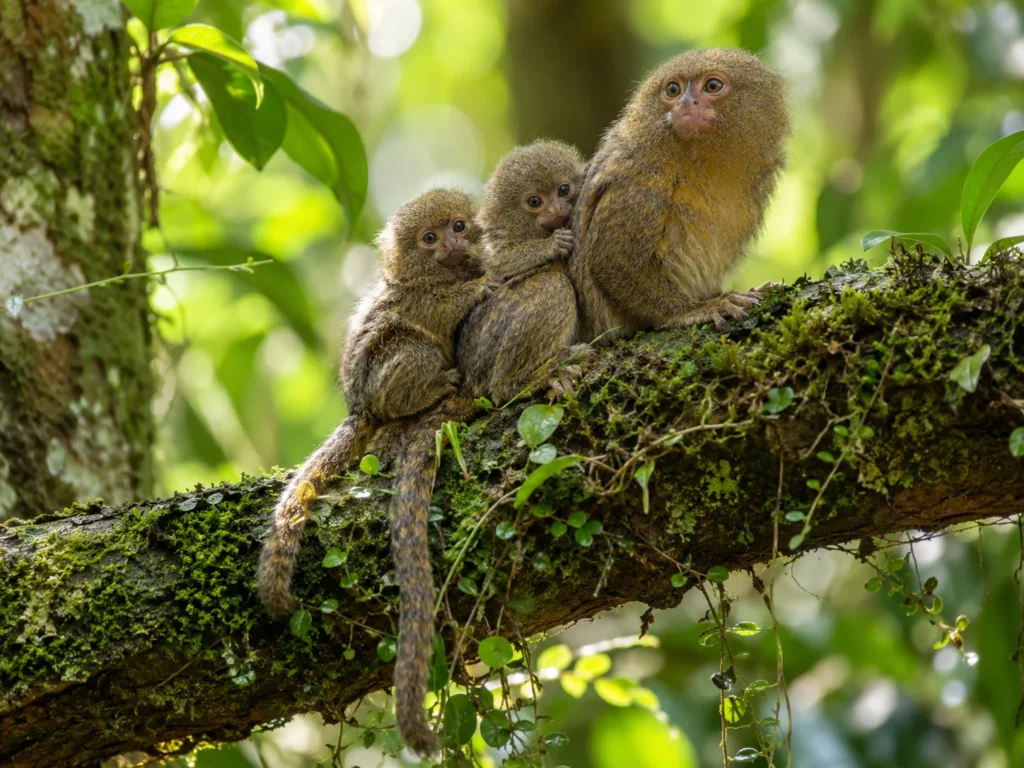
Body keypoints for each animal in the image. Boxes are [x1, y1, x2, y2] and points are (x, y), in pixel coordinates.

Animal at [256, 189, 490, 619]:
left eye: (459, 226)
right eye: (429, 238)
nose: (450, 244)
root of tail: (359, 407)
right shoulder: (420, 299)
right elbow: (445, 308)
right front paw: (486, 281)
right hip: (387, 376)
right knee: (415, 347)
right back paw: (430, 391)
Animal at [387, 140, 587, 755]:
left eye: (564, 190)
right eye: (534, 201)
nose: (557, 211)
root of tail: (471, 381)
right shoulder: (492, 258)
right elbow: (505, 270)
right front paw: (546, 248)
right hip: (495, 354)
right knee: (547, 288)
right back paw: (533, 379)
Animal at [571, 48, 789, 342]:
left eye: (712, 86)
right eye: (673, 89)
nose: (686, 103)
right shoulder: (640, 185)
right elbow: (612, 258)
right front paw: (694, 309)